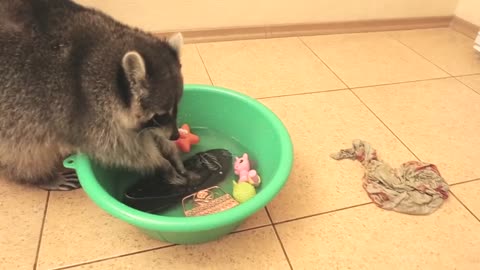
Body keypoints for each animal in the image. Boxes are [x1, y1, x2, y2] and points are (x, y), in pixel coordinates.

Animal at [0, 0, 197, 190]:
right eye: (159, 116)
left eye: (176, 109)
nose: (175, 136)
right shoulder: (87, 112)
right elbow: (119, 150)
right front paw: (161, 163)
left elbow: (147, 134)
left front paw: (170, 151)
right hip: (18, 111)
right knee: (26, 149)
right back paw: (38, 177)